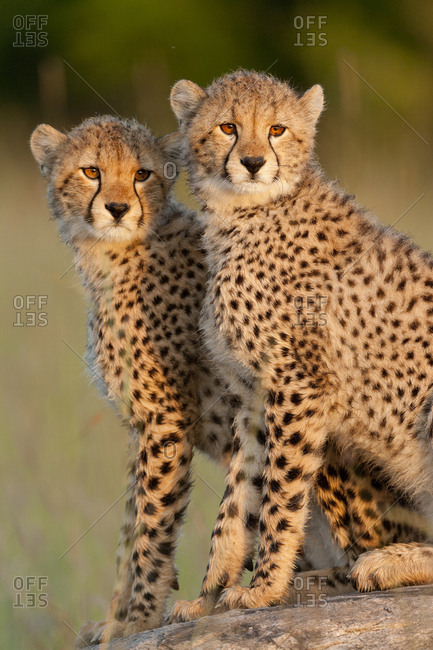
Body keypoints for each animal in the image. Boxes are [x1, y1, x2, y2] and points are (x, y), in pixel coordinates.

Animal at [168, 69, 433, 621]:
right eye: (228, 127)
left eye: (277, 129)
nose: (252, 162)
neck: (243, 214)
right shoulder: (254, 397)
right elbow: (237, 500)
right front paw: (208, 596)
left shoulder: (299, 387)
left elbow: (281, 496)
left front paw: (264, 587)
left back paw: (385, 563)